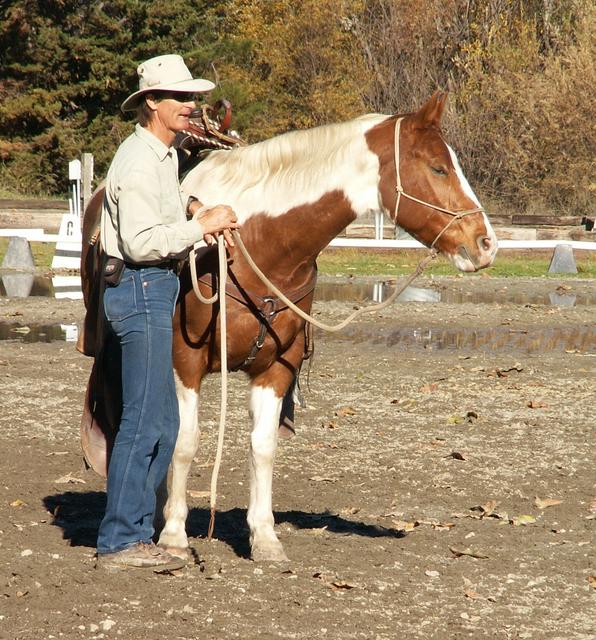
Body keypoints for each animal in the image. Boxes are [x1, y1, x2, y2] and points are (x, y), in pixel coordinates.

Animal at [80, 91, 497, 563]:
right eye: (438, 167)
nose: (486, 243)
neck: (254, 245)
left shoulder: (277, 367)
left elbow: (262, 447)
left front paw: (264, 537)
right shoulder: (183, 361)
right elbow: (184, 442)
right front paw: (173, 534)